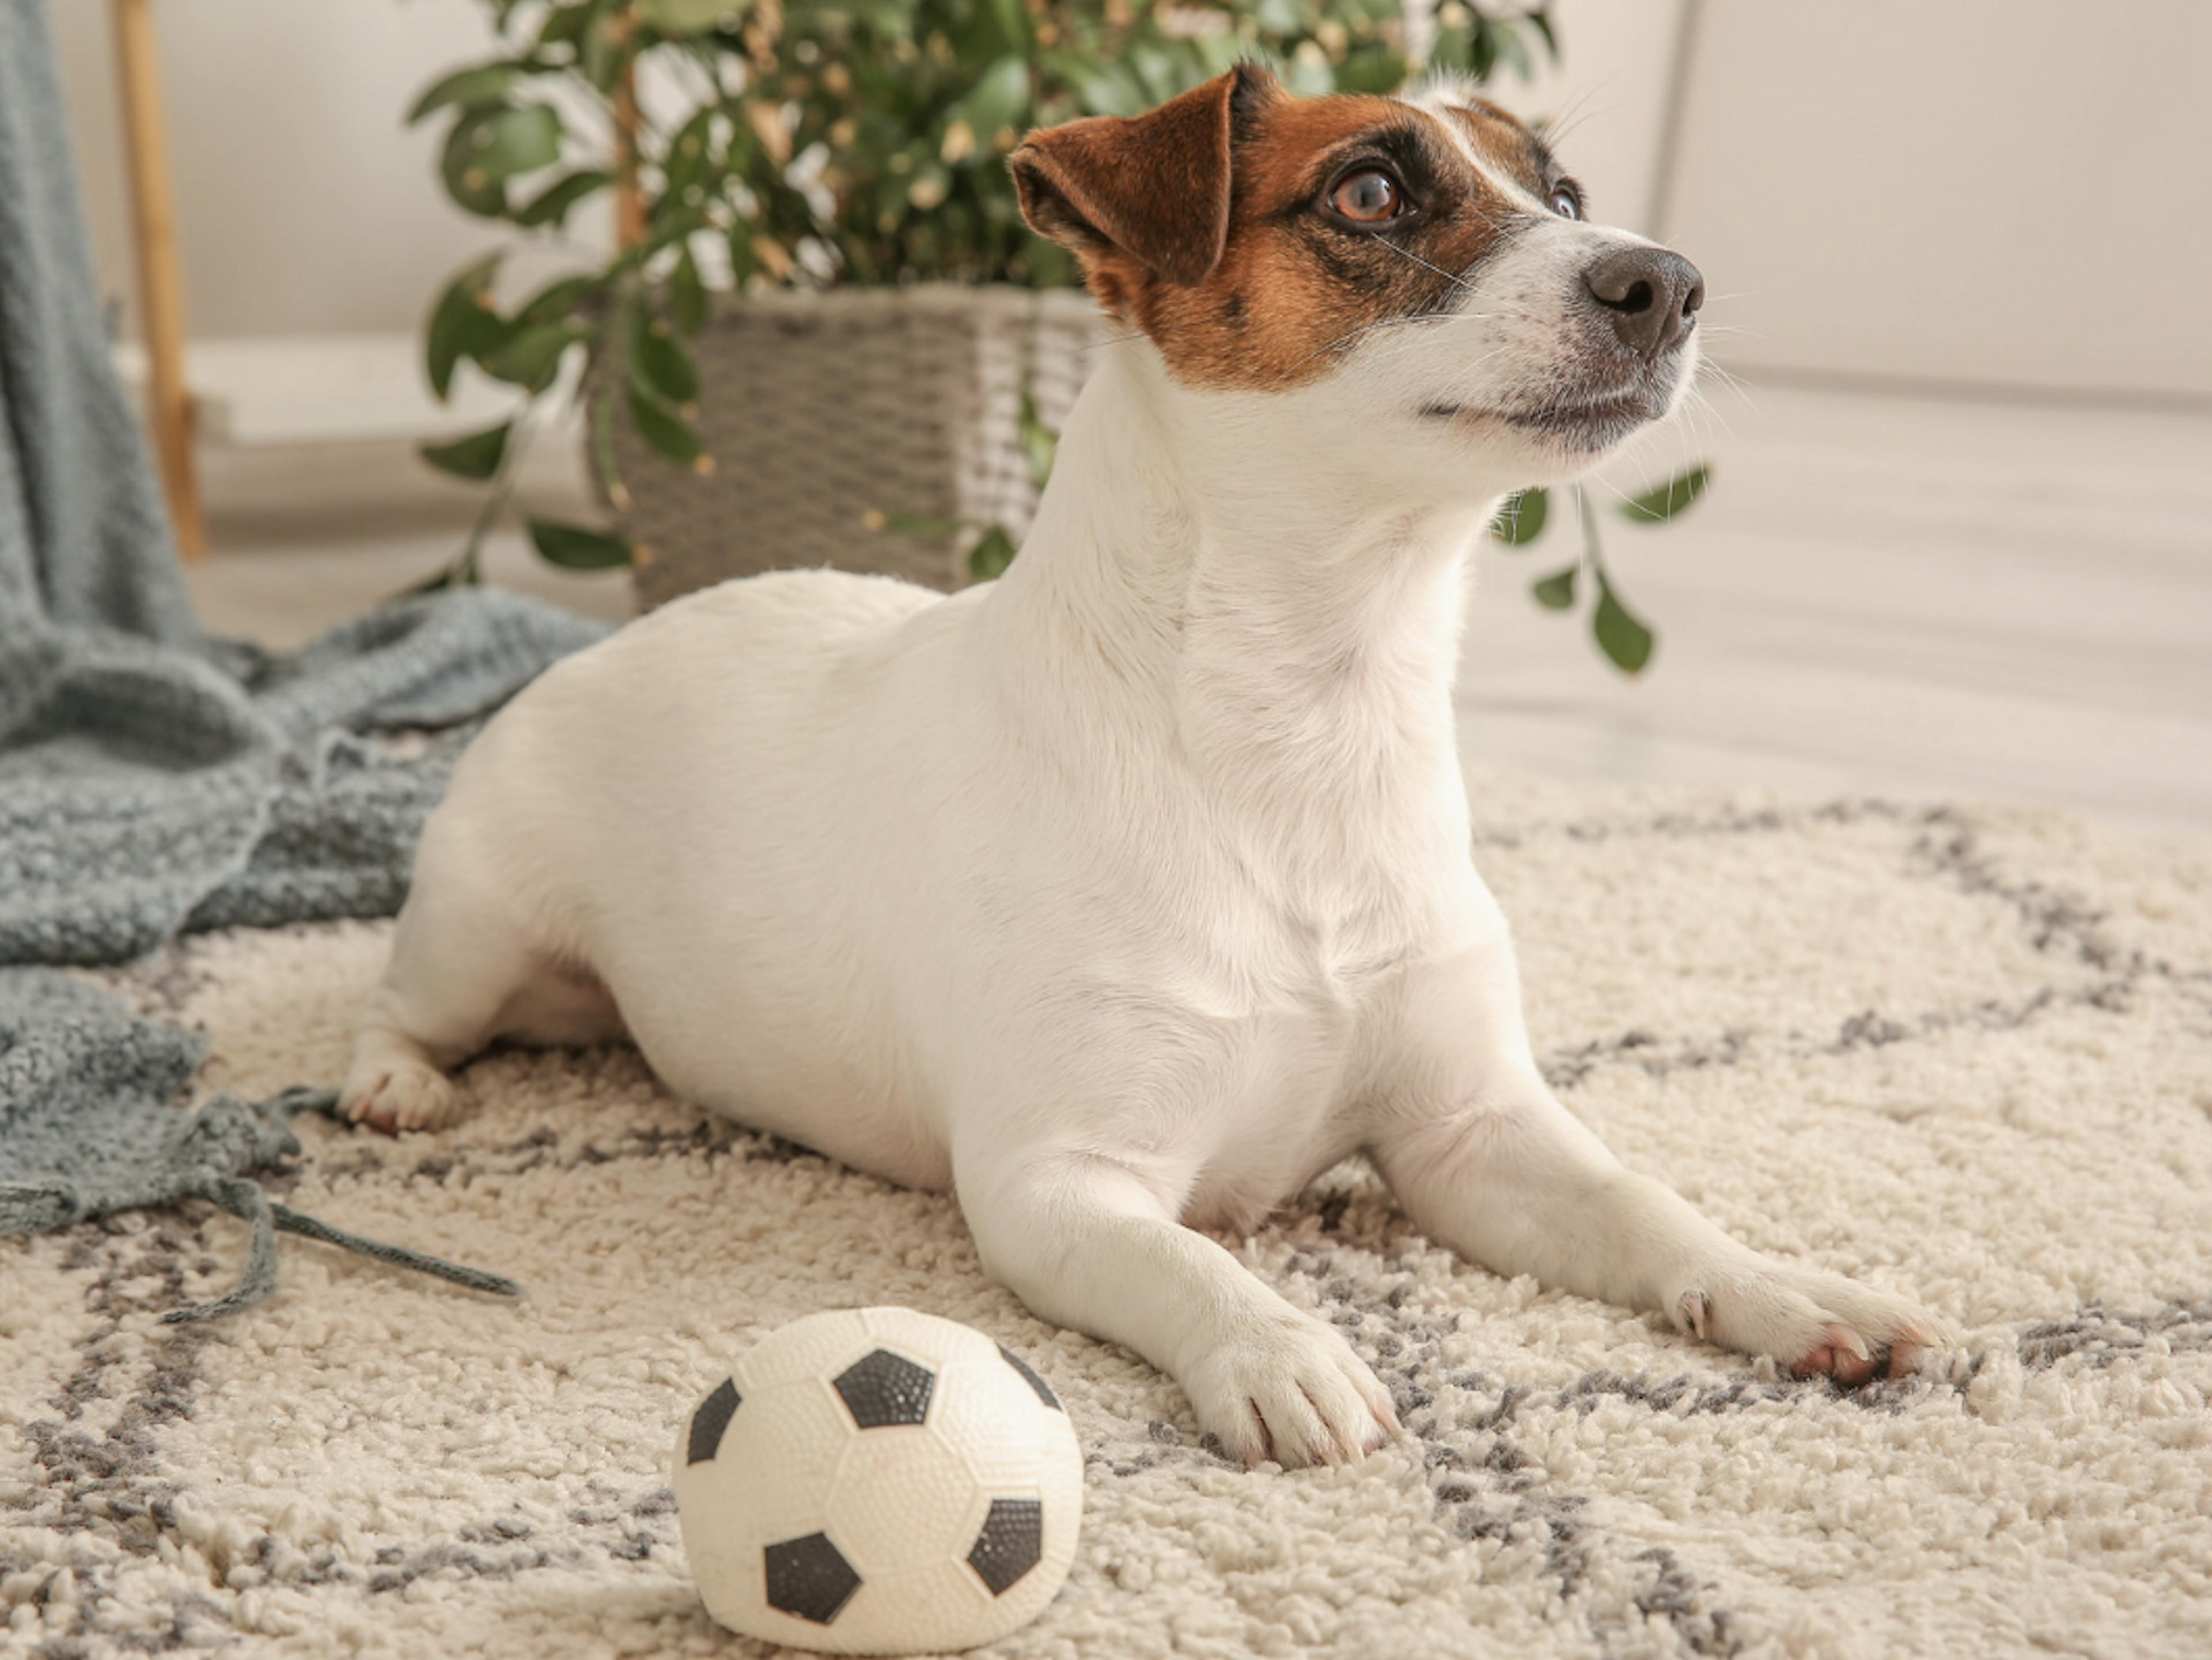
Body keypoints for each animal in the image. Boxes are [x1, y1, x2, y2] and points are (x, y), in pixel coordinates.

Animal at [336, 62, 1946, 1469]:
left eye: (1561, 194)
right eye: (1370, 193)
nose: (1665, 281)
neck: (1308, 717)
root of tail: (619, 633)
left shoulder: (1470, 1133)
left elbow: (1646, 1207)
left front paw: (1792, 1287)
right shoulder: (1059, 1186)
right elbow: (1195, 1268)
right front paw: (1286, 1349)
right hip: (477, 929)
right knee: (400, 999)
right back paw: (394, 1081)